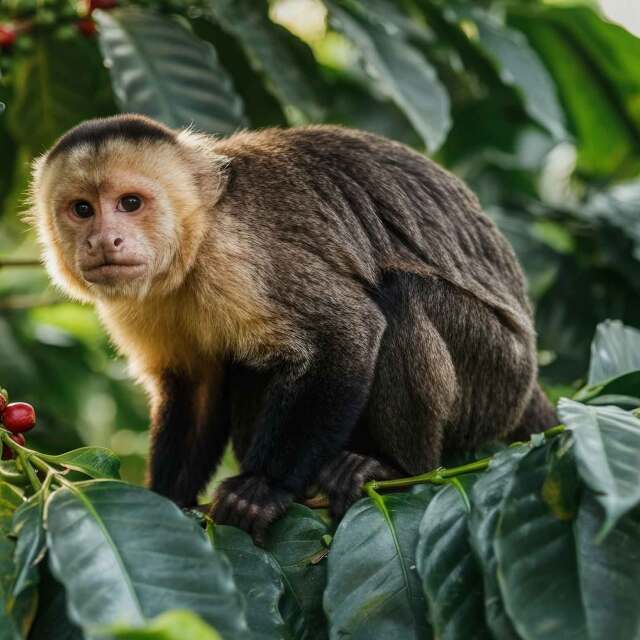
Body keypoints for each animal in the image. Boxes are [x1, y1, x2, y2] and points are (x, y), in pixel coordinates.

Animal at [28, 114, 556, 540]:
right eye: (82, 209)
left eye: (131, 203)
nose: (104, 241)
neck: (194, 244)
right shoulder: (140, 303)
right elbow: (196, 387)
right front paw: (165, 505)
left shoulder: (240, 255)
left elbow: (347, 332)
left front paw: (262, 488)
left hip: (495, 381)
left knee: (401, 298)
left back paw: (394, 468)